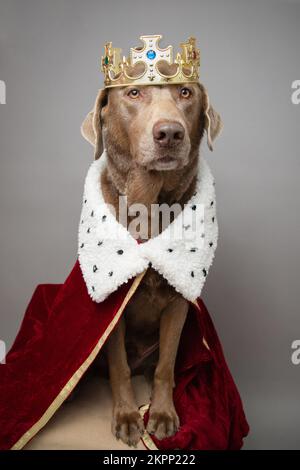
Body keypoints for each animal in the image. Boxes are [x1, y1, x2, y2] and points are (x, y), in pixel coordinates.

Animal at [82, 82, 223, 446]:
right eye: (133, 93)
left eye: (186, 93)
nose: (170, 133)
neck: (150, 205)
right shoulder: (113, 307)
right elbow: (119, 367)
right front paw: (127, 417)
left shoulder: (177, 303)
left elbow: (165, 366)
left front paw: (161, 414)